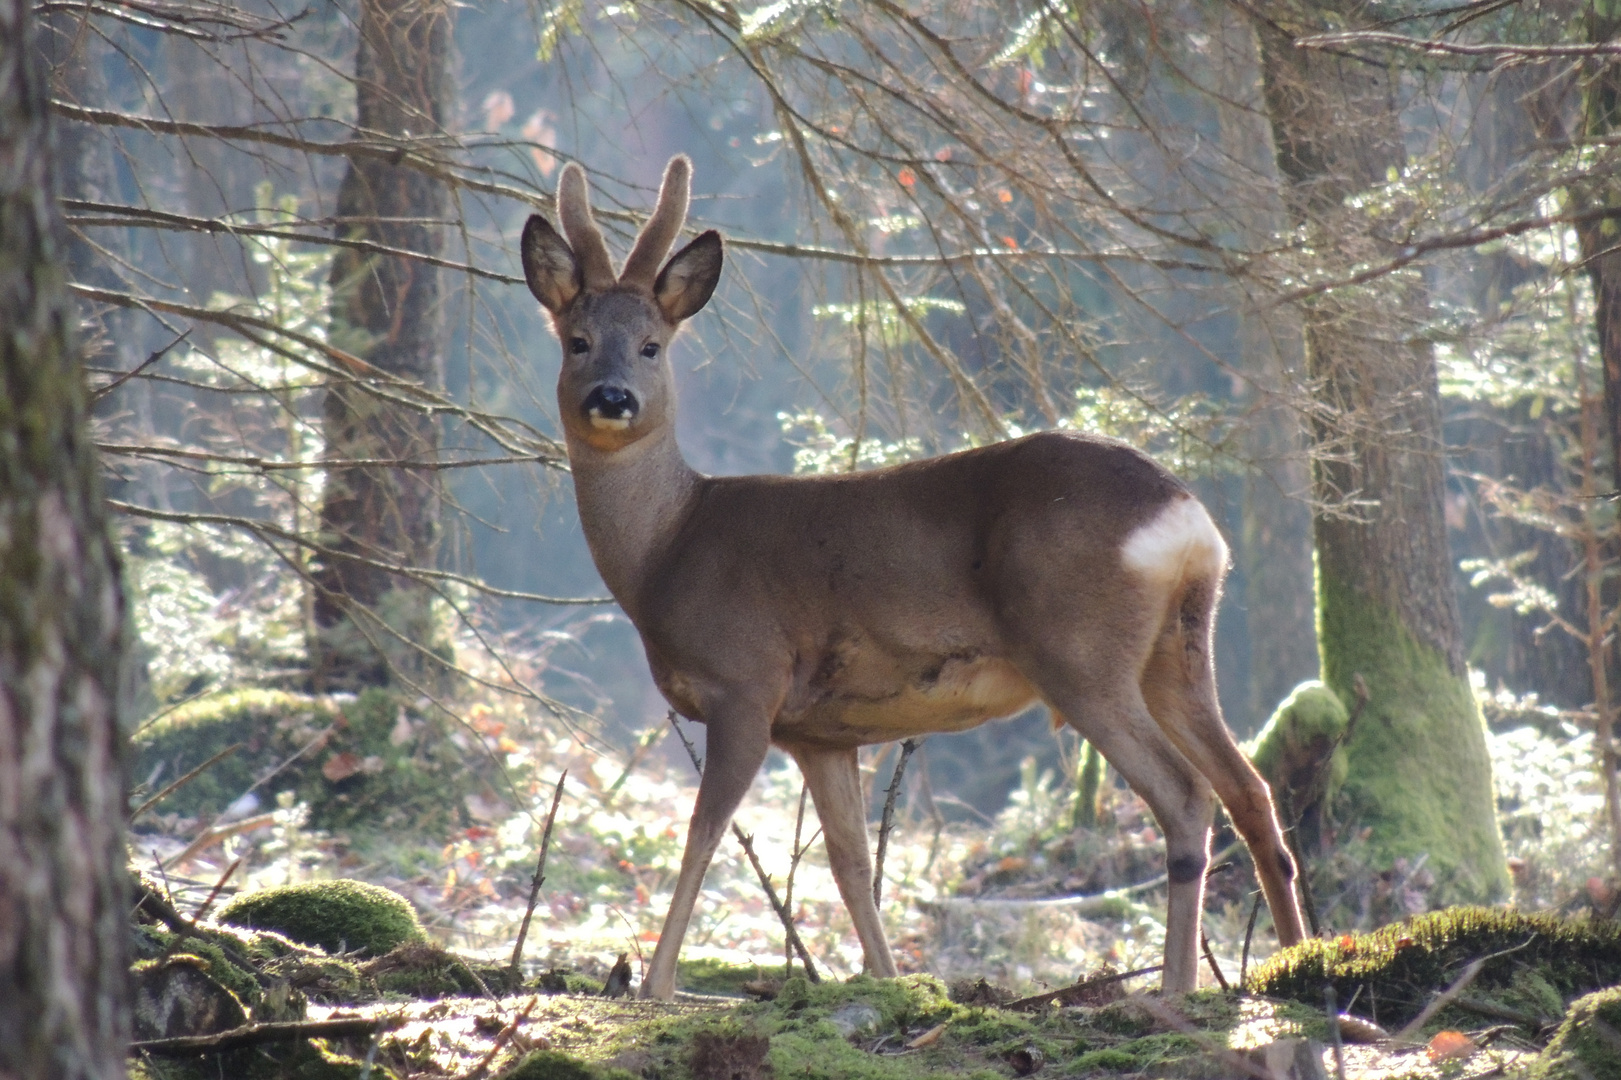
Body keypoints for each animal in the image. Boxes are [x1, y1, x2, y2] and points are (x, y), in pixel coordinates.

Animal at [518, 155, 1303, 998]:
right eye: (577, 341)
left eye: (652, 346)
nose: (612, 398)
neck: (668, 545)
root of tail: (1184, 519)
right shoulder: (819, 731)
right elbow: (851, 864)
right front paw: (890, 979)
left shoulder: (746, 681)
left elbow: (702, 834)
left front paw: (657, 984)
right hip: (1178, 648)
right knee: (1249, 789)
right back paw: (1296, 957)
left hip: (1080, 653)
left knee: (1186, 797)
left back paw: (1175, 990)